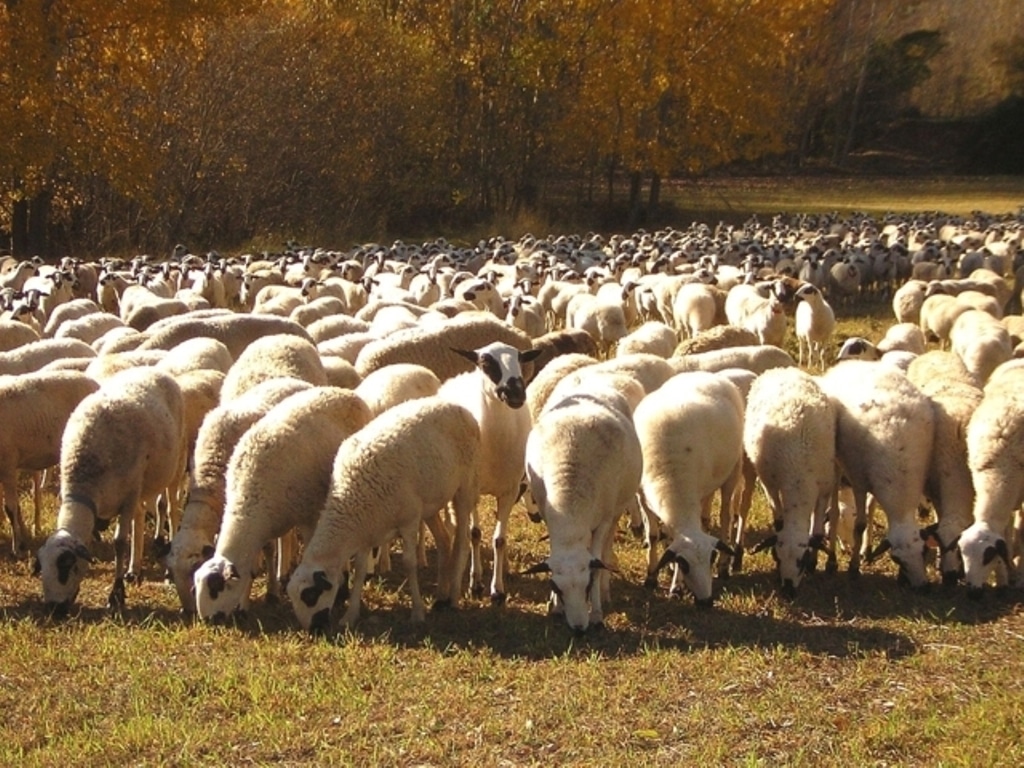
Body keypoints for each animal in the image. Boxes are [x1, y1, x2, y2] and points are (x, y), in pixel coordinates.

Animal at [33, 370, 189, 618]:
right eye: (41, 569)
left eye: (66, 567)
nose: (54, 609)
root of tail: (156, 371)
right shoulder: (125, 495)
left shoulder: (127, 498)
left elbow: (119, 542)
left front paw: (116, 594)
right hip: (139, 486)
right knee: (140, 515)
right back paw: (134, 569)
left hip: (175, 465)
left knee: (173, 509)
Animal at [192, 387, 372, 622]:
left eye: (215, 589)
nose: (208, 621)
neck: (247, 501)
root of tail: (346, 392)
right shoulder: (266, 525)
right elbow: (259, 560)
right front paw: (246, 604)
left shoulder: (308, 516)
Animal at [288, 397, 479, 630]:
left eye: (310, 595)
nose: (314, 630)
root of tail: (459, 407)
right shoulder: (367, 530)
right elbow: (360, 569)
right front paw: (350, 615)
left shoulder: (408, 521)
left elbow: (409, 564)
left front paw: (417, 612)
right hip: (430, 503)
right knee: (444, 540)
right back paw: (440, 597)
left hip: (465, 488)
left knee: (462, 540)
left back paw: (453, 598)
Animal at [524, 376, 643, 630]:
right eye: (556, 587)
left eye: (587, 585)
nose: (579, 629)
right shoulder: (549, 517)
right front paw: (555, 607)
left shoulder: (604, 521)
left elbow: (598, 564)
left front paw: (596, 613)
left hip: (616, 509)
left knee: (606, 549)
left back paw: (605, 591)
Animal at [630, 372, 745, 606]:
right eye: (684, 563)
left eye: (711, 558)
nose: (706, 602)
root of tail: (705, 374)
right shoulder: (643, 496)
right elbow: (654, 535)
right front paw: (652, 575)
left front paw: (676, 586)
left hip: (733, 470)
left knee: (726, 515)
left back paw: (724, 566)